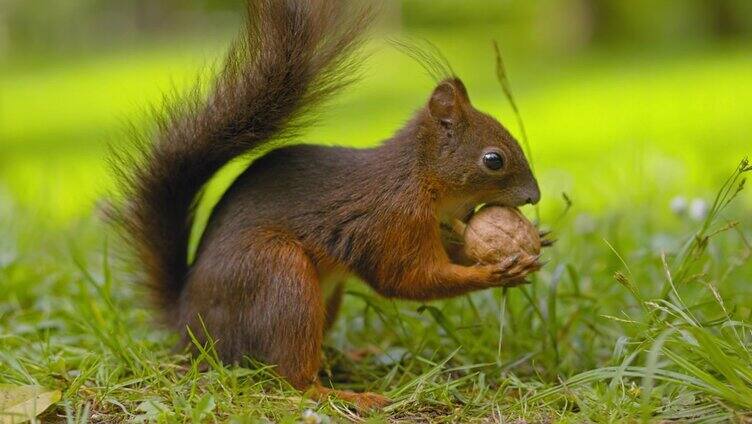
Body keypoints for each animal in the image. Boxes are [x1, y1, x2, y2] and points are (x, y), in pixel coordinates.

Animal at [110, 0, 540, 410]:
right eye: (494, 160)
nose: (534, 196)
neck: (422, 180)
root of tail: (190, 324)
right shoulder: (391, 220)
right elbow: (407, 278)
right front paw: (495, 272)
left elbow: (450, 252)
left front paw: (536, 240)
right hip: (279, 276)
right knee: (292, 378)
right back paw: (344, 395)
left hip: (324, 296)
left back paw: (349, 357)